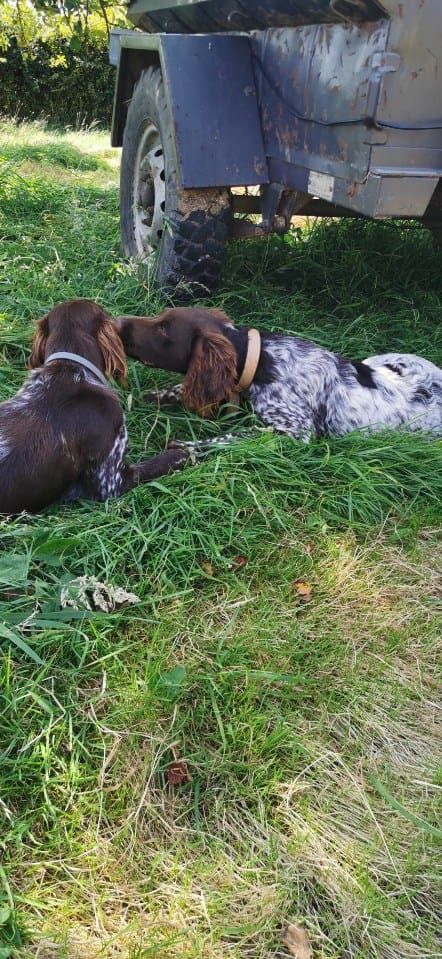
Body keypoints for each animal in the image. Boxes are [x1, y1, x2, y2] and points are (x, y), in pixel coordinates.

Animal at [116, 308, 442, 446]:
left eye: (164, 329)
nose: (118, 323)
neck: (261, 360)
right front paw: (153, 397)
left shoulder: (297, 432)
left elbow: (234, 437)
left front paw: (185, 446)